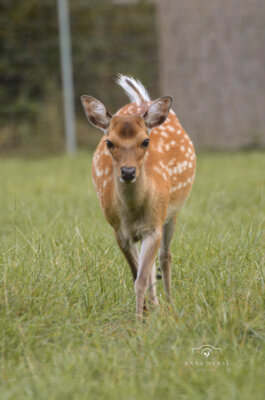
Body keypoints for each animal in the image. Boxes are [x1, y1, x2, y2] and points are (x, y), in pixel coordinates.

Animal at [80, 75, 194, 318]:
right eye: (109, 142)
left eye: (145, 141)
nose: (128, 171)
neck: (132, 213)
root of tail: (142, 100)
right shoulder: (119, 232)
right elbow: (136, 275)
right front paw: (144, 313)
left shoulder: (154, 225)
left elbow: (141, 278)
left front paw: (141, 318)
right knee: (150, 267)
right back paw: (156, 304)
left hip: (171, 213)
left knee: (165, 257)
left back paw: (169, 303)